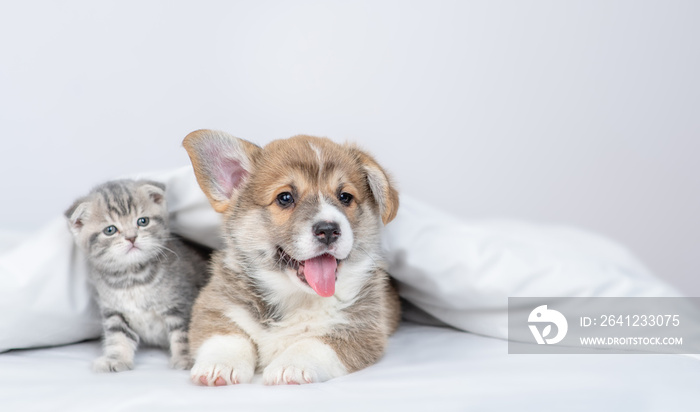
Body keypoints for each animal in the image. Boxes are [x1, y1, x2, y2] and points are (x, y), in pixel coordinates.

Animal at [65, 179, 211, 372]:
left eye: (143, 221)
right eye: (110, 230)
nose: (131, 237)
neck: (132, 278)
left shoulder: (183, 304)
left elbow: (185, 334)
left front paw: (187, 359)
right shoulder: (114, 311)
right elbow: (118, 337)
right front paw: (116, 359)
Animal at [183, 130, 402, 384]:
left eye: (345, 197)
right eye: (285, 198)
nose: (329, 229)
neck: (295, 297)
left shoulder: (361, 329)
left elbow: (313, 344)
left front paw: (290, 366)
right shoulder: (214, 308)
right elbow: (227, 337)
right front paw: (219, 365)